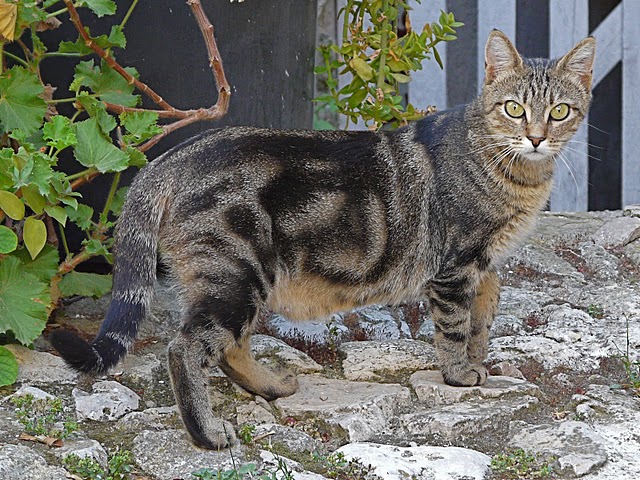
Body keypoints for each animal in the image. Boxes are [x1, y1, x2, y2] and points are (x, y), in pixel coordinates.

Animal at [50, 31, 596, 450]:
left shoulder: (486, 265)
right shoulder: (455, 267)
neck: (517, 176)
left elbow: (484, 317)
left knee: (229, 348)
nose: (537, 137)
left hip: (237, 281)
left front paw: (479, 365)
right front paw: (460, 374)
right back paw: (207, 434)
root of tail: (166, 160)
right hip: (237, 273)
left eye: (560, 112)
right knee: (185, 349)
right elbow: (456, 327)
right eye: (514, 109)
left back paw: (272, 386)